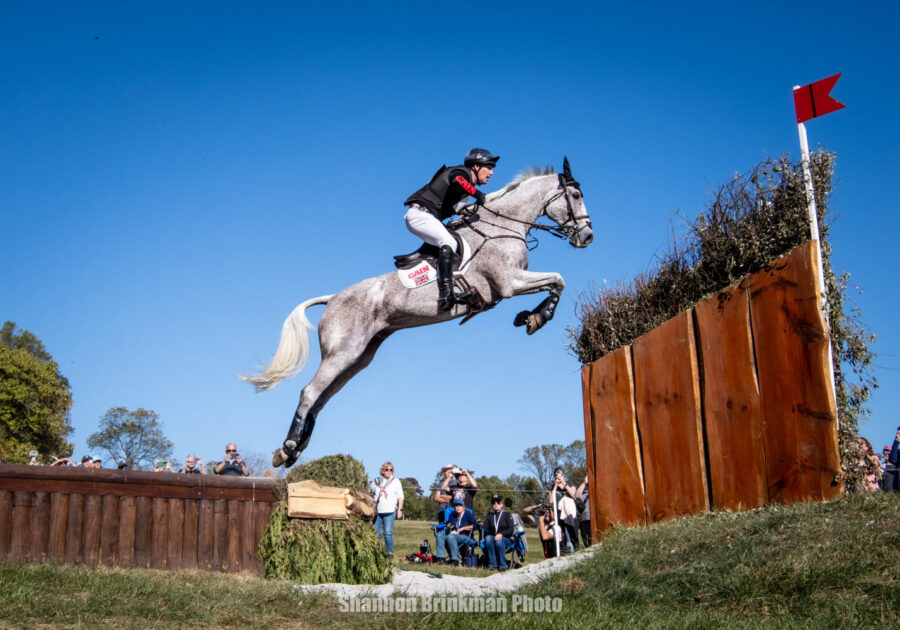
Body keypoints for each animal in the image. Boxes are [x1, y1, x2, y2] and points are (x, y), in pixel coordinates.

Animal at [246, 158, 596, 470]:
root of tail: (332, 299)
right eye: (576, 195)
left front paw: (532, 317)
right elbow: (558, 279)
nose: (587, 237)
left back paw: (295, 449)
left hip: (358, 358)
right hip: (342, 354)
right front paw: (537, 317)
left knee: (321, 399)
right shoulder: (510, 283)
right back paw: (288, 447)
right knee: (310, 393)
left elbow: (557, 283)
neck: (504, 226)